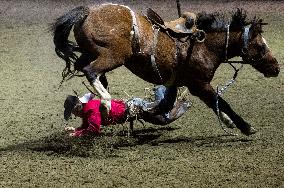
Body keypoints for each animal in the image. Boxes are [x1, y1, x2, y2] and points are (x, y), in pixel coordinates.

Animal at [51, 3, 280, 136]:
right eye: (261, 47)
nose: (276, 68)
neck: (204, 45)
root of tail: (88, 11)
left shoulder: (178, 83)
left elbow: (208, 103)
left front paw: (230, 123)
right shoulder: (199, 84)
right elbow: (221, 101)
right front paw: (246, 127)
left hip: (91, 53)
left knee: (83, 67)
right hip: (115, 56)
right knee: (91, 71)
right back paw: (106, 103)